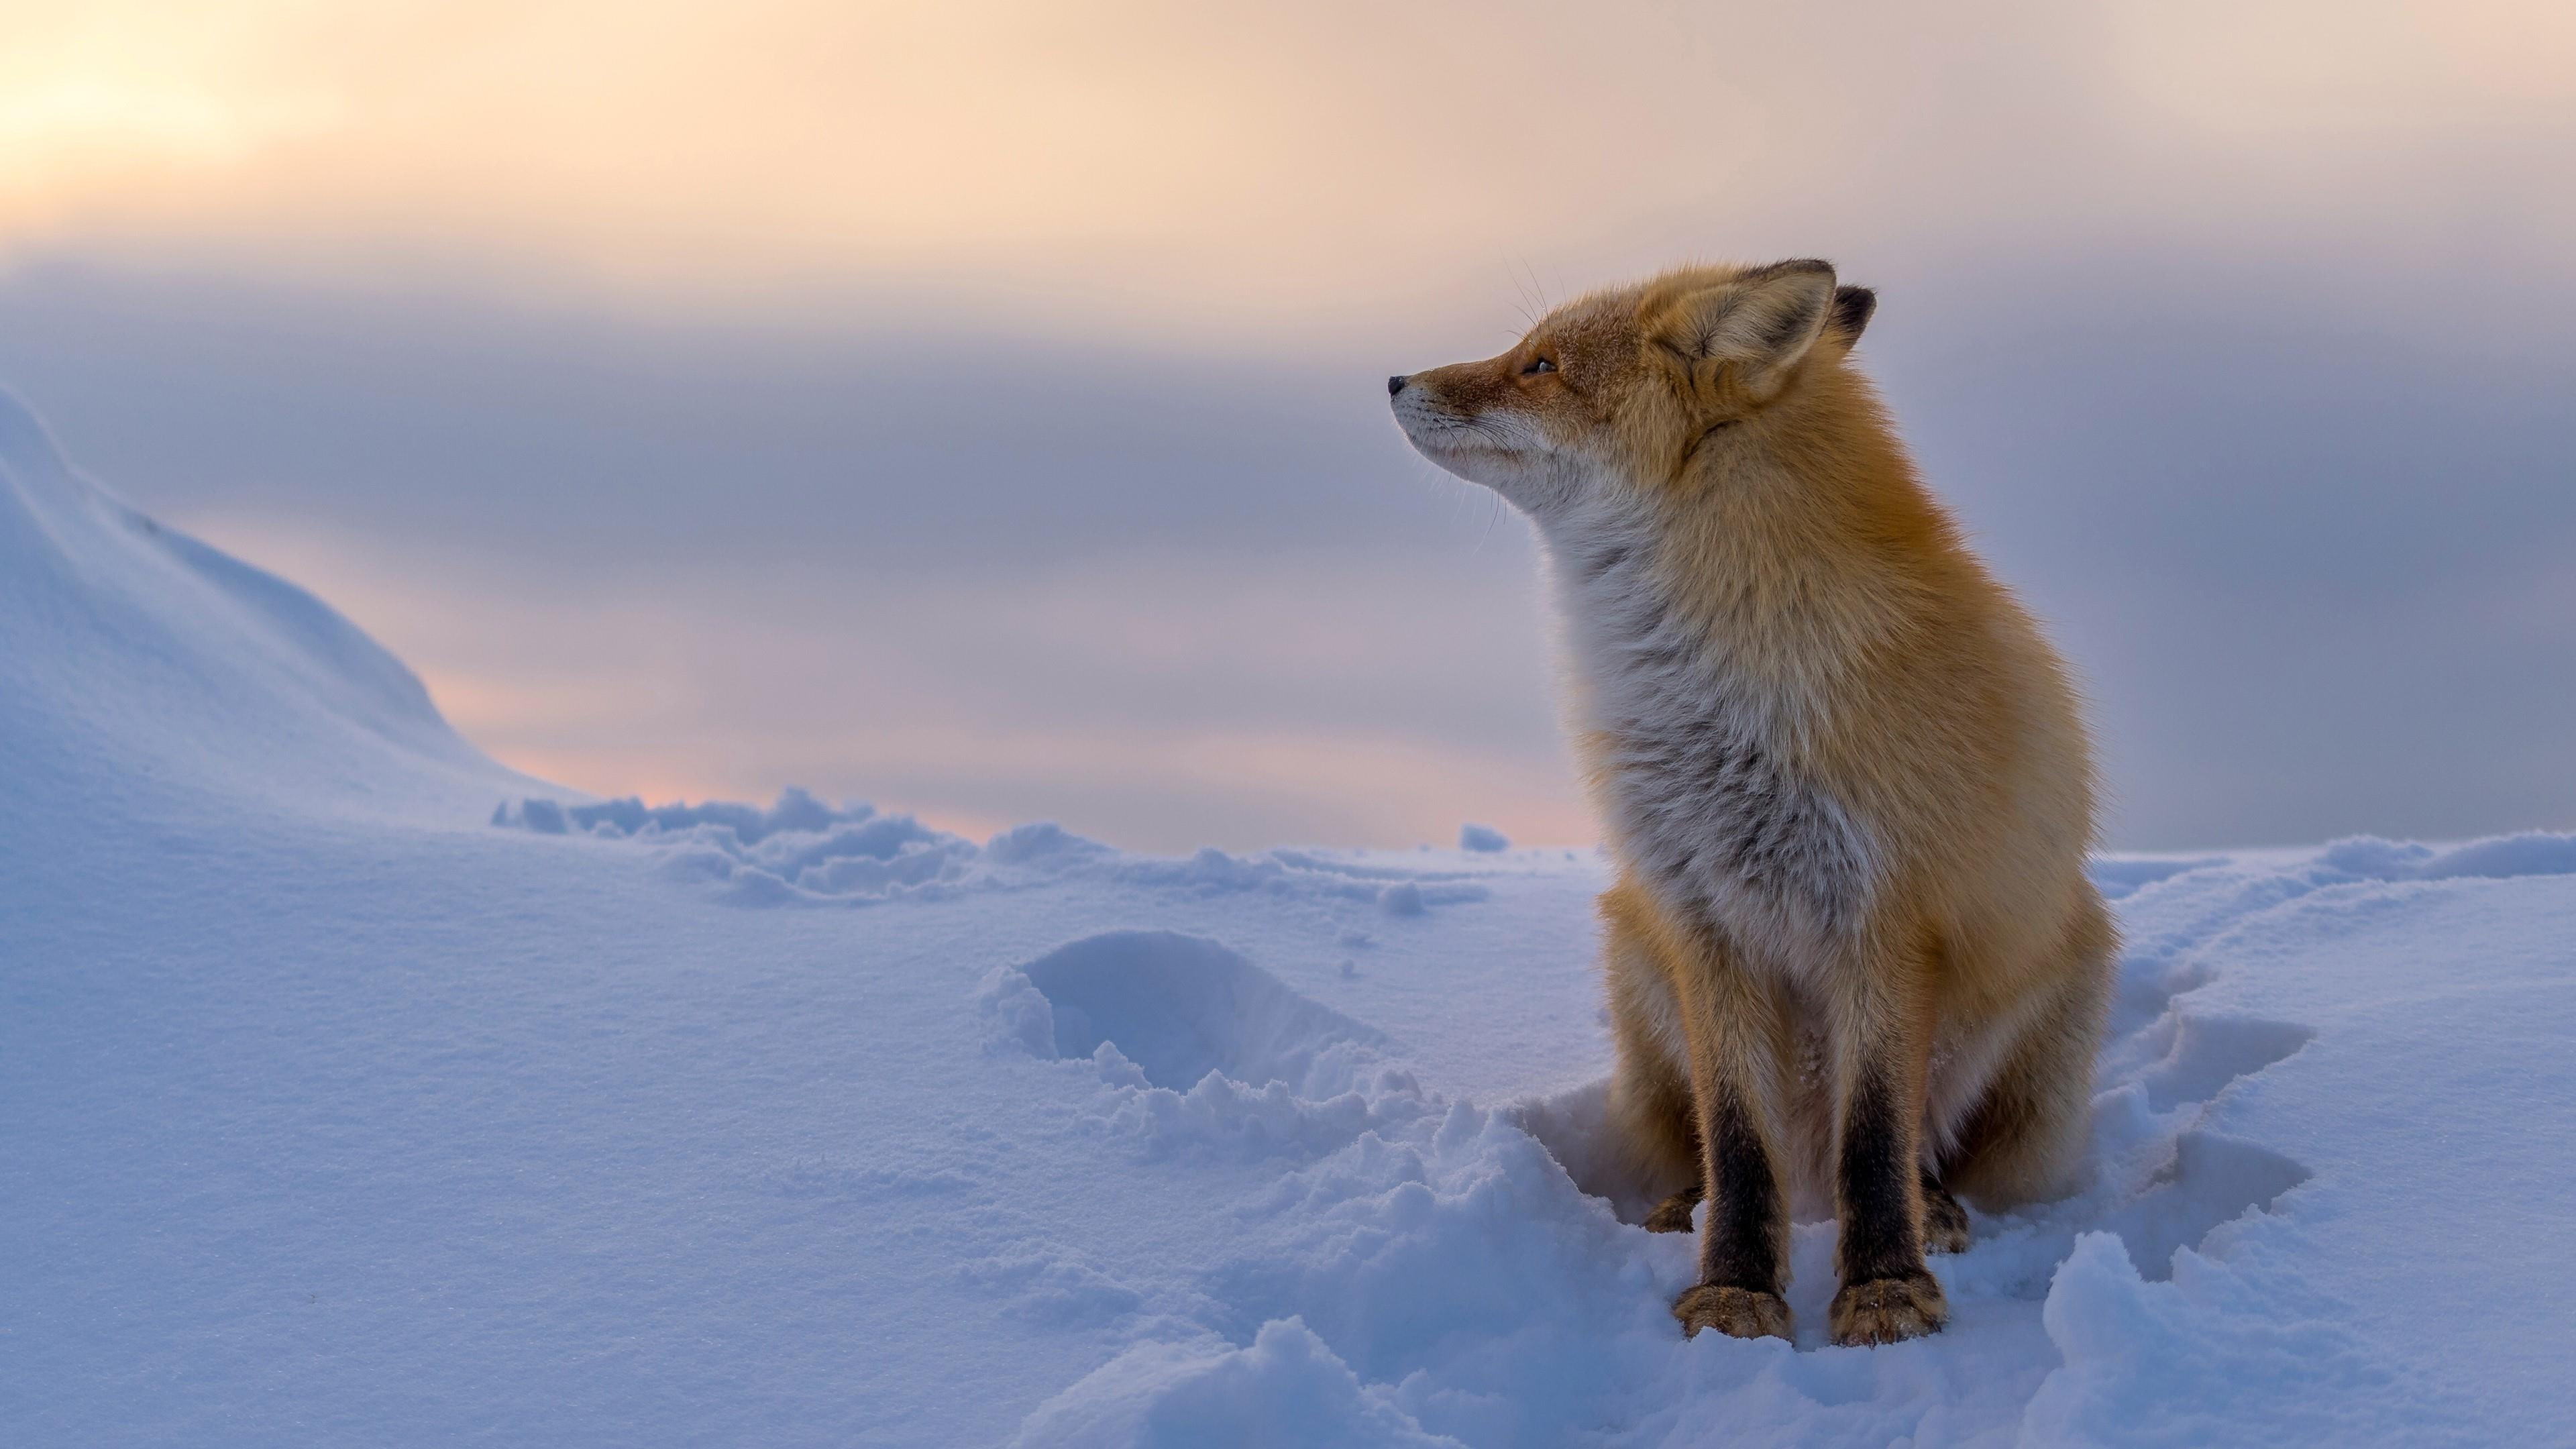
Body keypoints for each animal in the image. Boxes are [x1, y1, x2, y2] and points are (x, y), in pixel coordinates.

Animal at [1389, 259, 2114, 1347]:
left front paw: (1884, 1289)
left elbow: (1874, 1140)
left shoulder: (1886, 917)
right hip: (1634, 955)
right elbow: (1735, 1140)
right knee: (1718, 1146)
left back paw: (1935, 1209)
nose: (1393, 379)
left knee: (1915, 1150)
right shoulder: (1699, 912)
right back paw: (1683, 1207)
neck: (1717, 699)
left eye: (1541, 366)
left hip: (2057, 997)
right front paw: (1734, 1290)